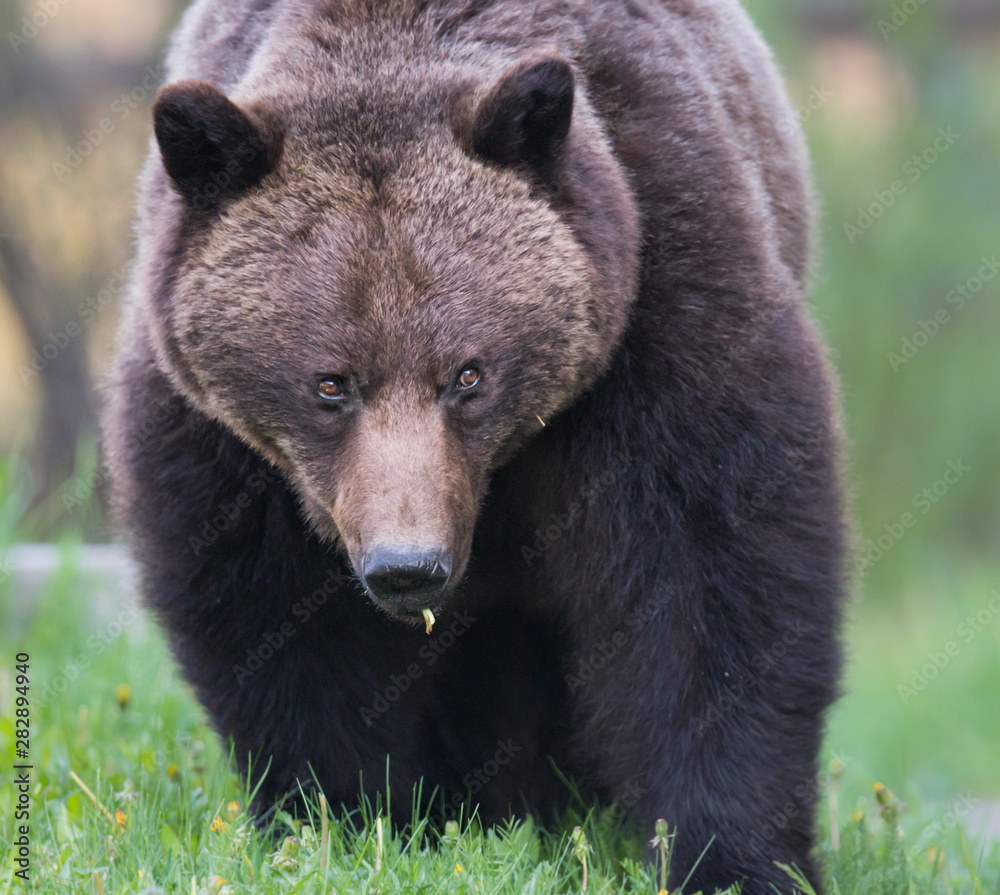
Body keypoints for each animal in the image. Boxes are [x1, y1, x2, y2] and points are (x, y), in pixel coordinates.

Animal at [105, 3, 844, 892]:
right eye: (330, 382)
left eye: (468, 372)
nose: (407, 564)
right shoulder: (228, 451)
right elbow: (279, 623)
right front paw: (350, 819)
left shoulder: (659, 306)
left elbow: (710, 576)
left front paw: (728, 854)